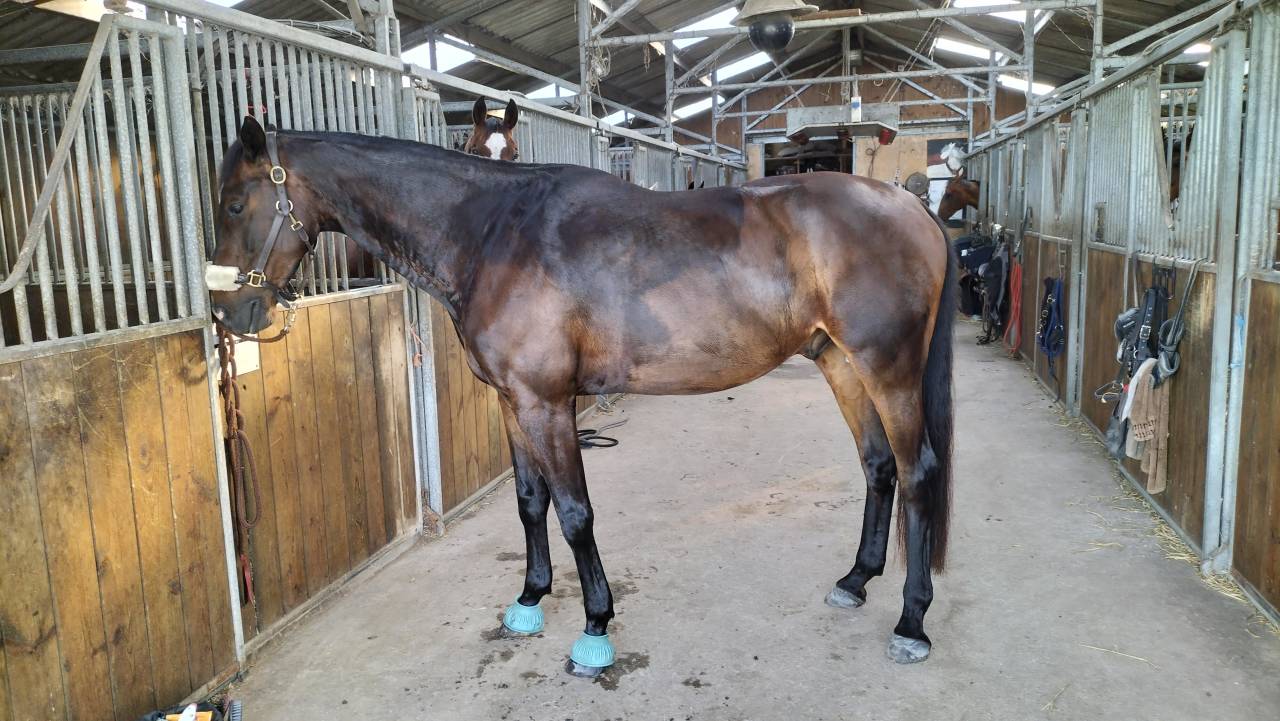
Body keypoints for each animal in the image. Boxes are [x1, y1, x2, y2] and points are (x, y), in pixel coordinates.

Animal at [206, 115, 957, 677]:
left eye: (236, 203)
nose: (228, 314)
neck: (492, 233)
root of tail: (912, 207)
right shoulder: (513, 402)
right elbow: (529, 501)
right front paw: (530, 599)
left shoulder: (547, 401)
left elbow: (574, 512)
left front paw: (595, 626)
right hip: (839, 362)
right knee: (879, 465)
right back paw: (855, 581)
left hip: (887, 368)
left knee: (919, 471)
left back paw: (912, 621)